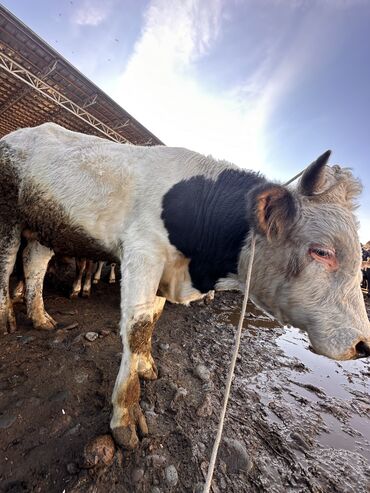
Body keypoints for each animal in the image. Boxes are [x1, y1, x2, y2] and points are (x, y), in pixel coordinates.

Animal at [0, 123, 368, 450]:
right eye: (322, 251)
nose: (363, 344)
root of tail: (19, 133)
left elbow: (153, 320)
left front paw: (146, 366)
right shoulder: (142, 254)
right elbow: (138, 327)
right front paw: (125, 418)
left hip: (46, 228)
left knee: (33, 265)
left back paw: (40, 318)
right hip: (9, 218)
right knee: (6, 266)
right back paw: (8, 319)